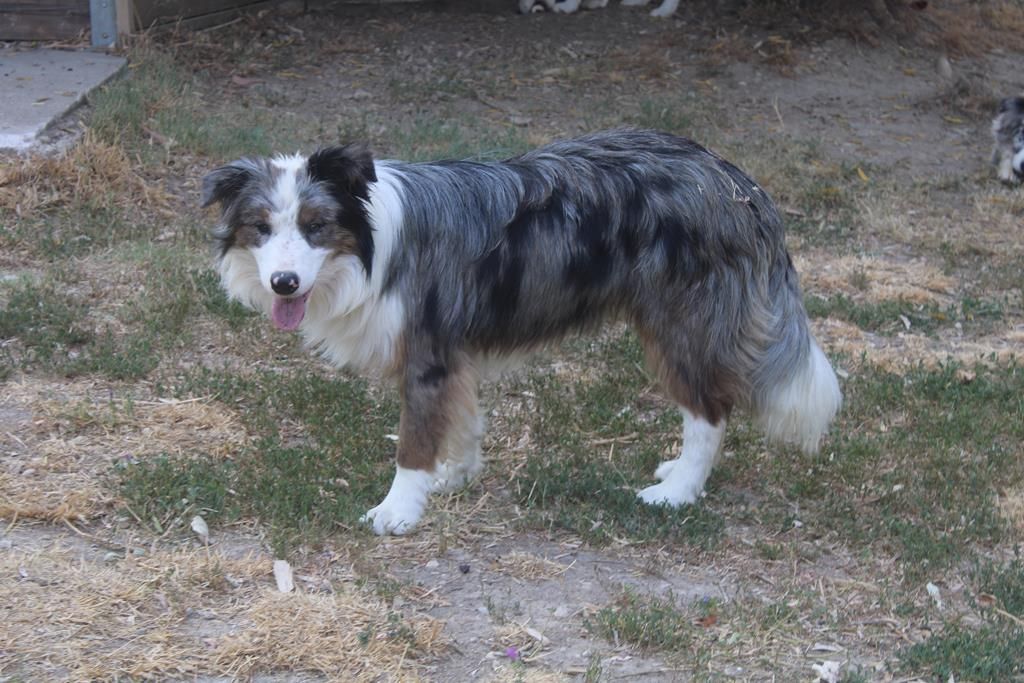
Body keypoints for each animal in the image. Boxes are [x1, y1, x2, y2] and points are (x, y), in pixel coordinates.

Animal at [202, 129, 842, 536]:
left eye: (316, 225)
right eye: (260, 228)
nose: (284, 283)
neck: (373, 247)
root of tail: (737, 182)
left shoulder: (427, 352)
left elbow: (413, 442)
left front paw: (398, 510)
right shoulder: (452, 354)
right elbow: (461, 419)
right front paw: (454, 476)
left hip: (679, 323)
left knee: (710, 410)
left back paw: (678, 492)